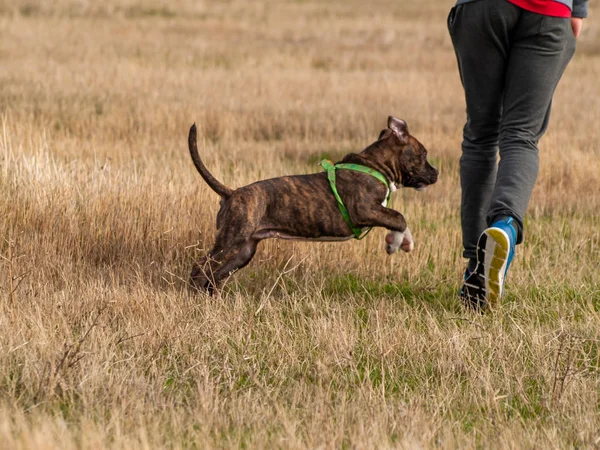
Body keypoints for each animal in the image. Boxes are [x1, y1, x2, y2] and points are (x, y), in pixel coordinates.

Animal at [190, 116, 438, 292]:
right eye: (423, 154)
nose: (436, 173)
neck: (375, 166)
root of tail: (232, 193)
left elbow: (398, 220)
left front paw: (403, 242)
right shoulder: (364, 209)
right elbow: (399, 217)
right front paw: (394, 243)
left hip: (244, 251)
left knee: (215, 276)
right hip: (232, 240)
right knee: (200, 269)